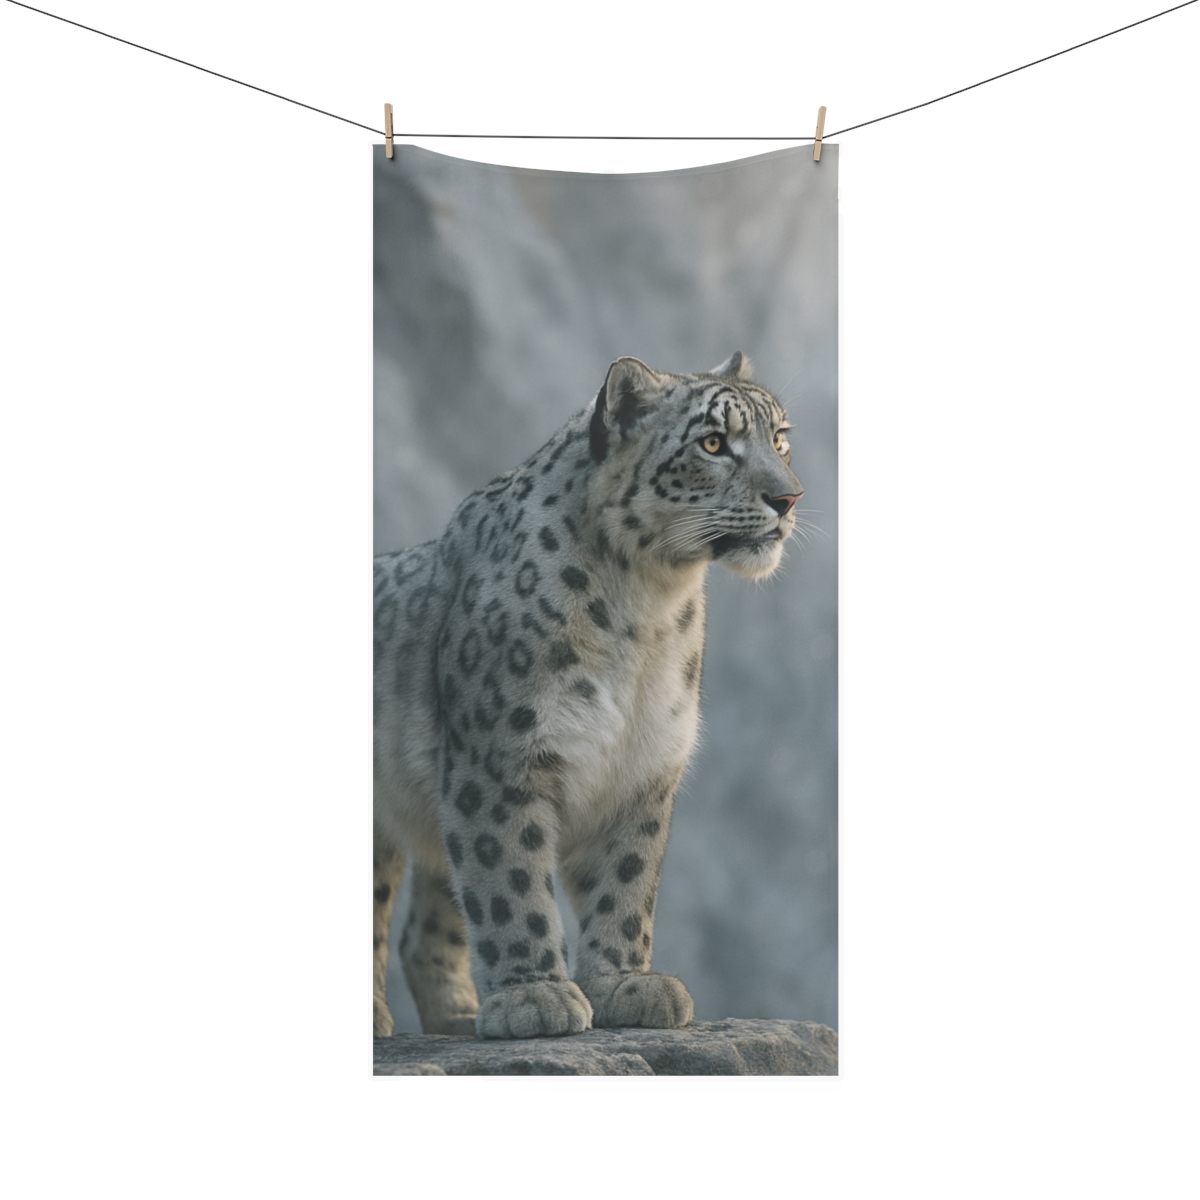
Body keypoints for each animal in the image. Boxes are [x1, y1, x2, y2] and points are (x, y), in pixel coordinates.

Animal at [373, 352, 804, 1039]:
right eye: (713, 443)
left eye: (780, 438)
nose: (788, 497)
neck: (645, 609)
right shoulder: (499, 761)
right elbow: (508, 881)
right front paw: (535, 996)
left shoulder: (643, 766)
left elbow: (626, 882)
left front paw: (624, 985)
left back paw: (458, 1017)